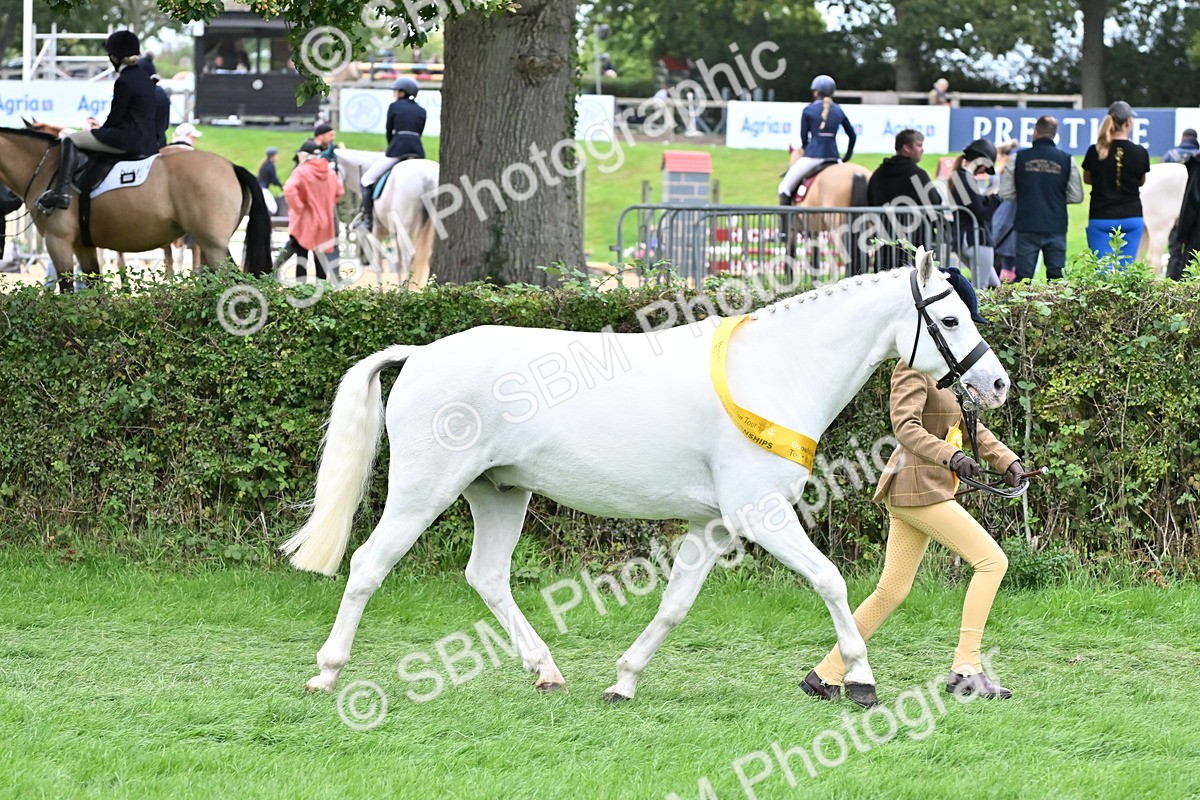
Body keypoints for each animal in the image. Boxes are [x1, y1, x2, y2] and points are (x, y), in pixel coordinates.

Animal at [0, 125, 271, 291]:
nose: (8, 201)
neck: (46, 167)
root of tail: (232, 166)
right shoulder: (82, 245)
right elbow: (95, 290)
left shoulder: (58, 241)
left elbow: (67, 291)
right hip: (207, 245)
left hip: (213, 245)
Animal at [281, 248, 1011, 708]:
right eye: (949, 318)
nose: (997, 383)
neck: (774, 371)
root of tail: (421, 352)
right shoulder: (761, 513)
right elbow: (830, 580)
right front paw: (857, 680)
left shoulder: (712, 525)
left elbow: (675, 605)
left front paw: (623, 681)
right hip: (421, 490)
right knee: (369, 565)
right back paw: (325, 675)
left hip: (501, 492)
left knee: (486, 576)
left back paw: (546, 672)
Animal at [336, 149, 439, 289]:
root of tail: (427, 175)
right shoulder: (394, 233)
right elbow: (398, 264)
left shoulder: (376, 231)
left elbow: (378, 264)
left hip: (404, 228)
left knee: (408, 258)